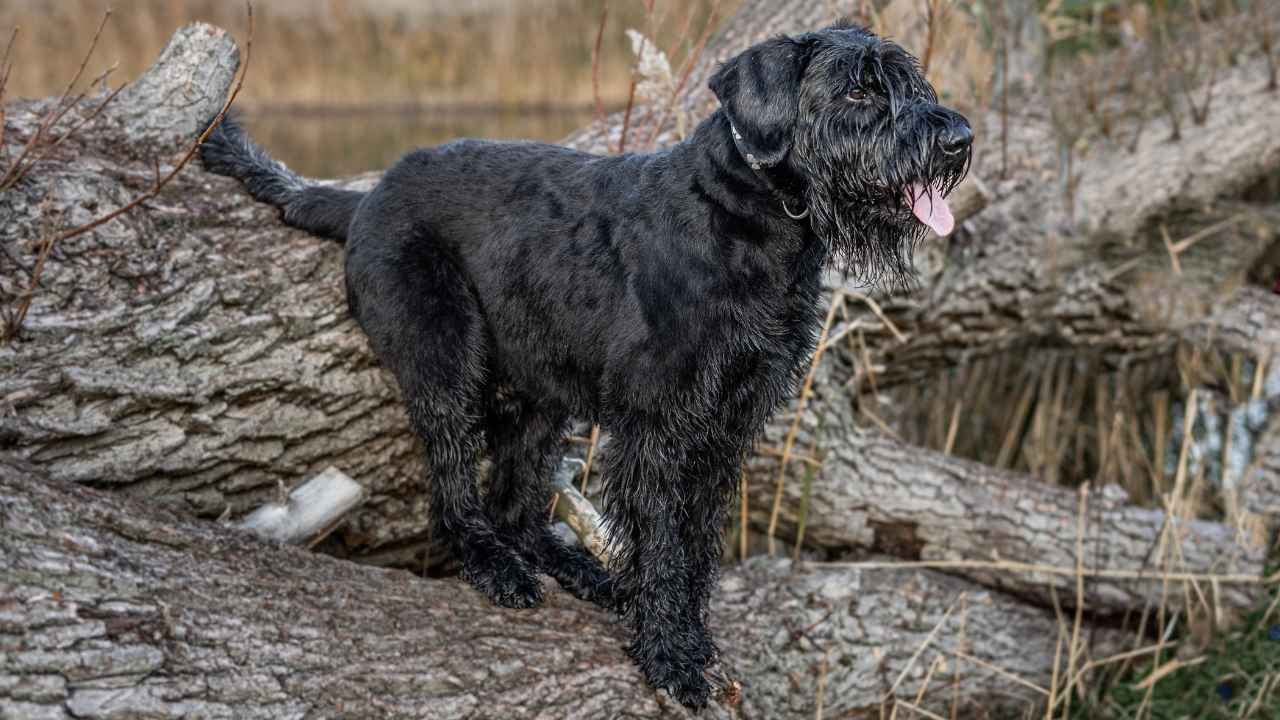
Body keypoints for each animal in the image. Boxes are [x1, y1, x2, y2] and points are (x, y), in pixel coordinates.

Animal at [199, 22, 962, 707]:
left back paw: (585, 572)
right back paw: (498, 570)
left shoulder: (728, 425)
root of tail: (368, 198)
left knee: (516, 505)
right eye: (858, 89)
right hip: (447, 358)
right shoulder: (660, 427)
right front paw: (671, 657)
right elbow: (663, 541)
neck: (753, 219)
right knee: (455, 491)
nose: (958, 139)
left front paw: (690, 636)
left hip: (543, 394)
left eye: (909, 80)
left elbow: (697, 542)